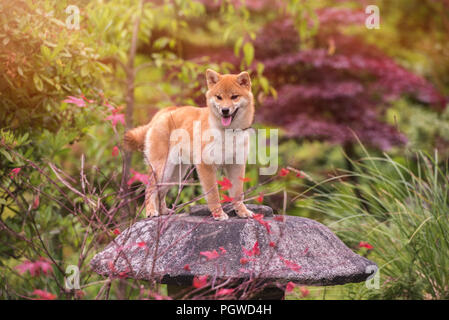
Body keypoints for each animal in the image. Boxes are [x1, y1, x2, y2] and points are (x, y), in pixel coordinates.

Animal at [124, 69, 254, 220]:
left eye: (234, 97)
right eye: (219, 97)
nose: (225, 110)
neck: (227, 133)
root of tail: (163, 112)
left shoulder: (236, 165)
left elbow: (238, 193)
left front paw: (242, 211)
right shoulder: (206, 165)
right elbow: (213, 195)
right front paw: (218, 214)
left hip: (175, 174)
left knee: (161, 192)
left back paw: (164, 211)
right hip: (163, 169)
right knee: (150, 189)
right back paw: (151, 211)